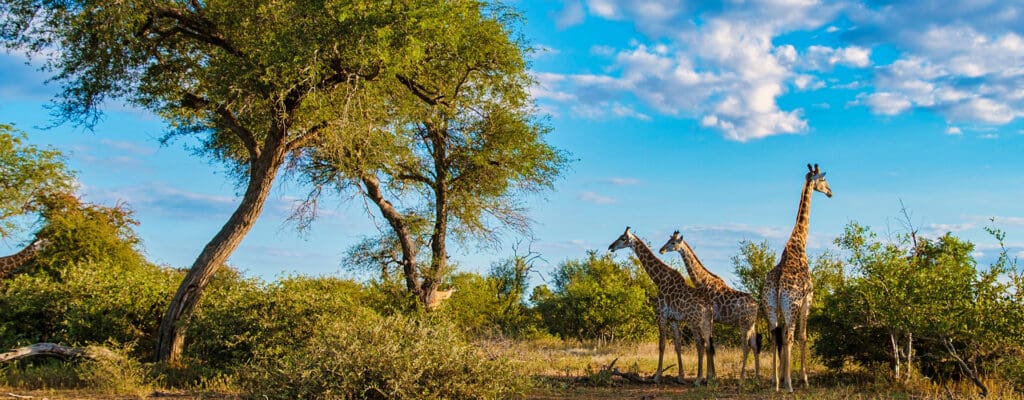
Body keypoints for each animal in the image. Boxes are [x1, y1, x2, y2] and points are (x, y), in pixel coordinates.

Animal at [608, 227, 716, 385]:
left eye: (622, 238)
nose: (611, 247)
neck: (658, 279)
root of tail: (708, 307)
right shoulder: (673, 319)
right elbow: (677, 345)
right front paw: (680, 377)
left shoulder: (661, 315)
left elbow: (662, 344)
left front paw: (657, 376)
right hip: (707, 322)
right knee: (708, 344)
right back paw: (709, 378)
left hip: (694, 321)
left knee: (700, 344)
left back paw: (698, 379)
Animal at [659, 231, 761, 381]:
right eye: (668, 240)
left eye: (673, 242)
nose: (661, 250)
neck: (702, 281)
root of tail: (757, 305)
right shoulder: (711, 319)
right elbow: (711, 345)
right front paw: (713, 375)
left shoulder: (709, 317)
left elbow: (708, 344)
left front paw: (709, 376)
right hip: (751, 324)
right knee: (754, 345)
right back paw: (757, 376)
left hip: (744, 324)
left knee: (746, 347)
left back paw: (742, 378)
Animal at [764, 163, 832, 392]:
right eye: (823, 180)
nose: (830, 192)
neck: (799, 244)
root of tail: (777, 285)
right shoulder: (807, 299)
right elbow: (803, 337)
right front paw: (804, 379)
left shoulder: (783, 307)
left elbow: (782, 337)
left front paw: (782, 376)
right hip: (791, 305)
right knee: (790, 337)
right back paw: (790, 385)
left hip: (771, 306)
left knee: (775, 335)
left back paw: (776, 382)